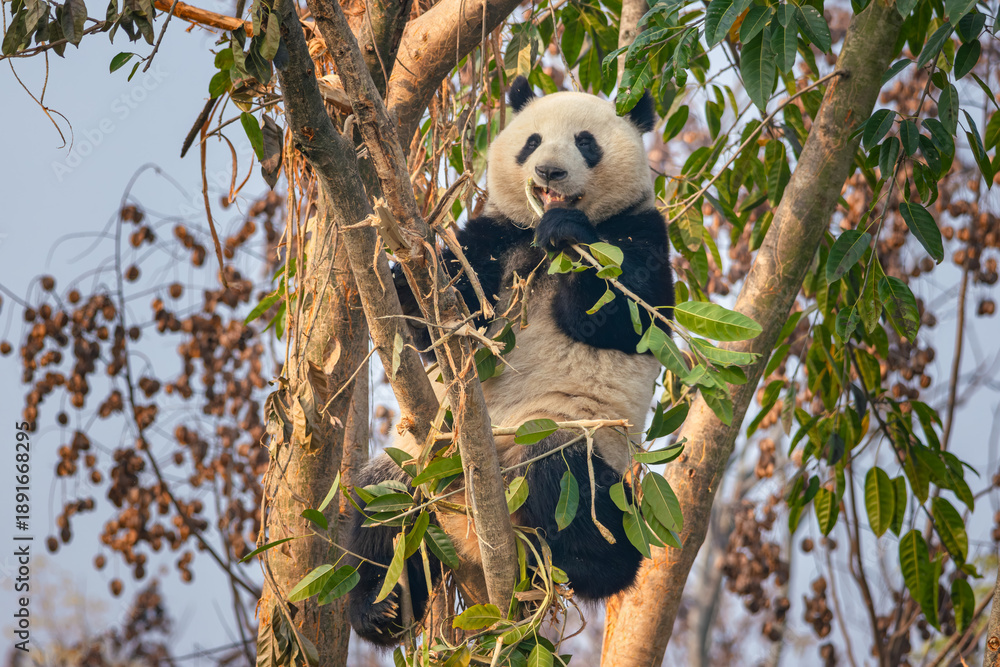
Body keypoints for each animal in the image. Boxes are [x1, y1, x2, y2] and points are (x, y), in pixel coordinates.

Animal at [345, 75, 675, 646]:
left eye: (586, 142)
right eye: (532, 141)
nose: (549, 172)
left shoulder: (643, 230)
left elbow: (632, 316)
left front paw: (568, 230)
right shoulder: (495, 236)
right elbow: (443, 327)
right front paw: (406, 275)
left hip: (571, 432)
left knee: (568, 478)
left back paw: (587, 565)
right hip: (418, 458)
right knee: (379, 513)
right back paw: (379, 609)